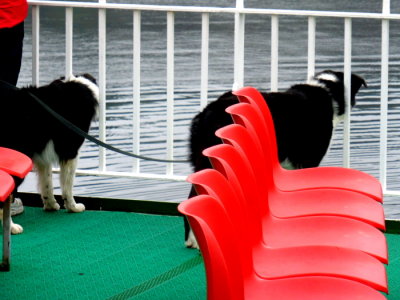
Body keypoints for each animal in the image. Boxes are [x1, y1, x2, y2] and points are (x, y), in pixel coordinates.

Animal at [0, 73, 99, 234]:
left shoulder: (43, 155)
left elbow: (47, 182)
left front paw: (51, 205)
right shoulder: (70, 152)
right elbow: (67, 185)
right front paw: (73, 207)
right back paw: (12, 227)